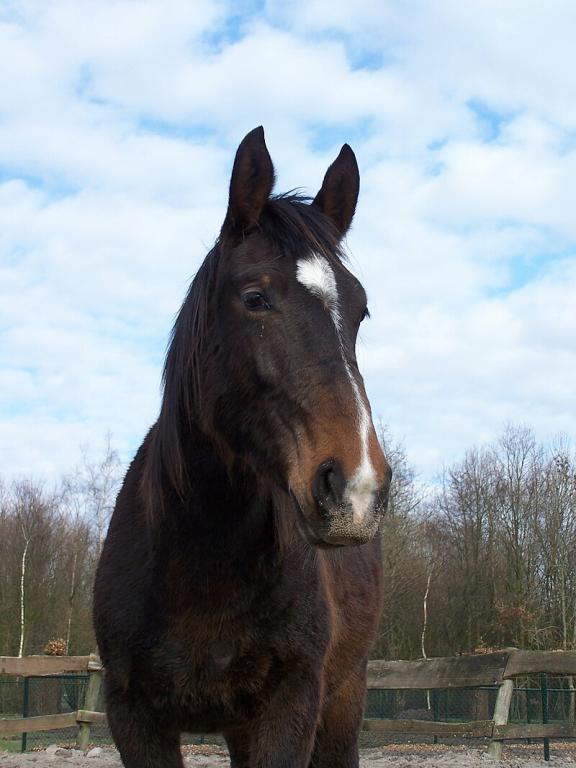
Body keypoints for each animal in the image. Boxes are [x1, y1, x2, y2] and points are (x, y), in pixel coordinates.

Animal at [93, 126, 392, 768]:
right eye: (255, 297)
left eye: (360, 311)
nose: (355, 489)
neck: (201, 561)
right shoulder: (134, 719)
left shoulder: (289, 712)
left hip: (342, 702)